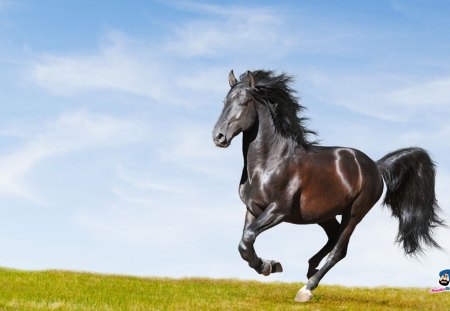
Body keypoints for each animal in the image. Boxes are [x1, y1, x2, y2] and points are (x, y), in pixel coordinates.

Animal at [213, 70, 444, 302]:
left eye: (244, 103)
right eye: (225, 101)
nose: (218, 136)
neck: (270, 164)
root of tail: (376, 166)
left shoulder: (278, 210)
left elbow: (248, 238)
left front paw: (269, 266)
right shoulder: (253, 209)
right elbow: (245, 244)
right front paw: (270, 265)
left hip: (354, 213)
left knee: (339, 250)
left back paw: (307, 288)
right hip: (324, 214)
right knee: (333, 238)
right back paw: (310, 269)